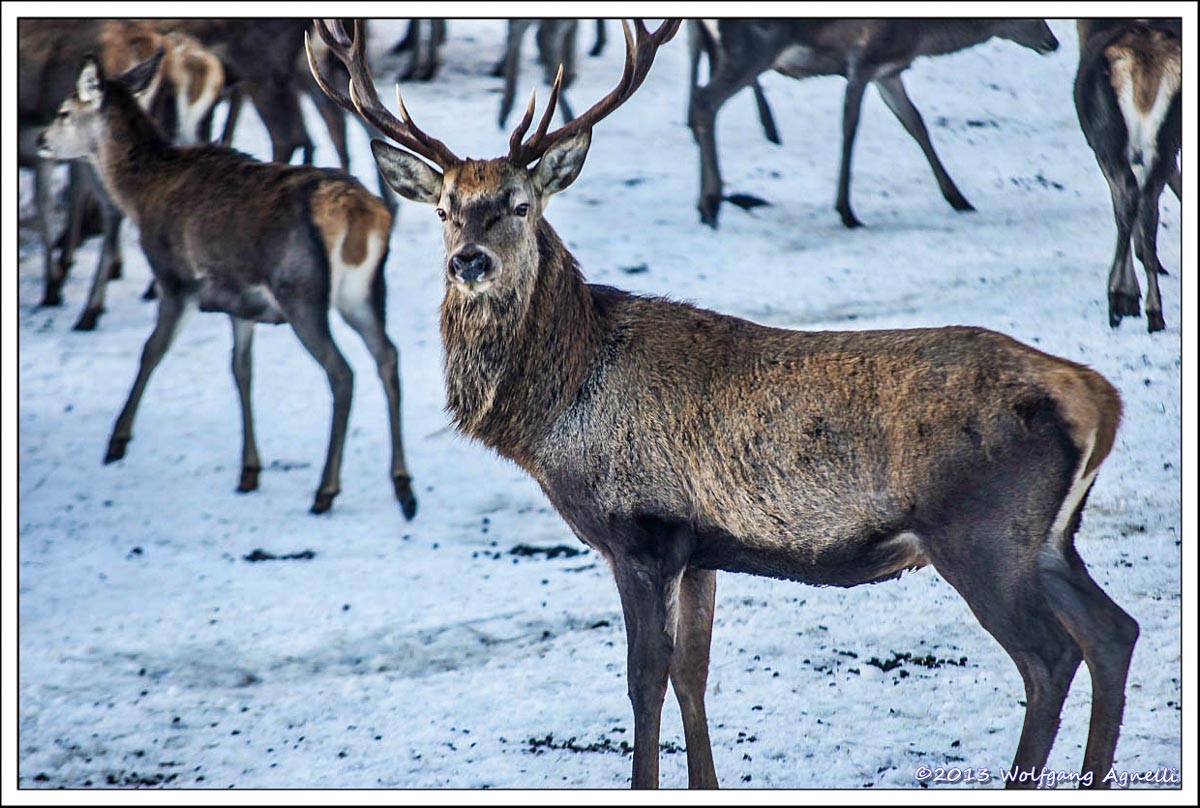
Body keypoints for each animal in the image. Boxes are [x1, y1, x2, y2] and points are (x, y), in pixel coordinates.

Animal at [37, 51, 420, 516]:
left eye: (64, 111)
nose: (41, 138)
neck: (141, 195)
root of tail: (363, 215)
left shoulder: (176, 279)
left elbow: (151, 351)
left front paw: (117, 441)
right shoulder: (243, 304)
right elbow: (241, 369)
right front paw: (249, 470)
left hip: (301, 291)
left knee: (342, 373)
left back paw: (326, 490)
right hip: (363, 292)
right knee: (388, 356)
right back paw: (403, 486)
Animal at [686, 18, 1060, 226]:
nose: (1053, 41)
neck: (920, 37)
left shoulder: (888, 72)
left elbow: (916, 124)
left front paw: (958, 198)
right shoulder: (863, 61)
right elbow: (850, 127)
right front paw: (846, 212)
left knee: (703, 96)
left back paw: (705, 203)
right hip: (752, 48)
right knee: (706, 101)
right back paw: (711, 202)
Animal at [1075, 20, 1185, 331]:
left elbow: (1120, 210)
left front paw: (1127, 296)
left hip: (1109, 139)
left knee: (1131, 201)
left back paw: (1118, 300)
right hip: (1166, 142)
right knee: (1148, 208)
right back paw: (1155, 312)